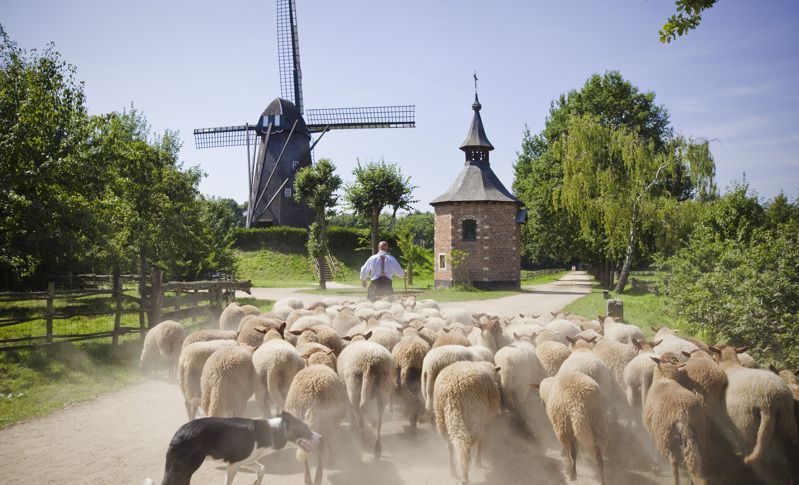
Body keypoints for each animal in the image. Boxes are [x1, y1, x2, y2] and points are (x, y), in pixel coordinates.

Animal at [145, 410, 320, 484]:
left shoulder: (246, 461)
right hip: (184, 470)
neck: (273, 431)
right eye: (306, 430)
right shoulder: (233, 465)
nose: (321, 437)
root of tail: (178, 434)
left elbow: (262, 469)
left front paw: (257, 482)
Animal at [644, 356, 708, 484]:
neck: (665, 379)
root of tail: (681, 413)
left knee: (673, 461)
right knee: (697, 460)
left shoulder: (652, 430)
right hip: (699, 430)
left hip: (663, 436)